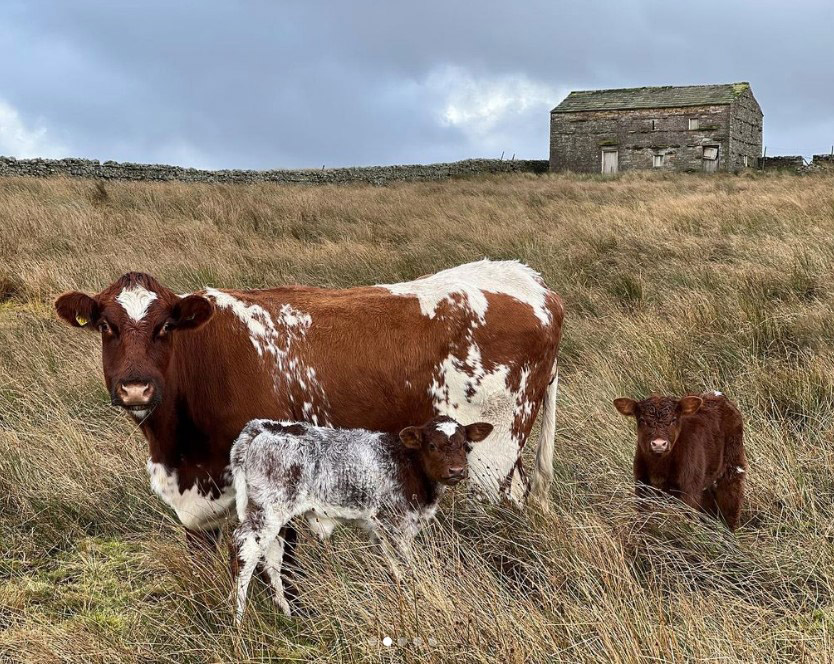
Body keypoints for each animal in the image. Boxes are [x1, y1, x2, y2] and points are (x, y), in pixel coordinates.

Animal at [231, 418, 490, 620]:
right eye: (432, 445)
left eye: (465, 445)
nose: (457, 471)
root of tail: (262, 426)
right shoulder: (394, 524)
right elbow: (406, 566)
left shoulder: (379, 530)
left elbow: (395, 568)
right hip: (270, 510)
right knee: (245, 552)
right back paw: (238, 623)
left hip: (276, 517)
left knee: (272, 561)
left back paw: (288, 615)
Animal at [608, 390, 744, 528]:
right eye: (642, 420)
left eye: (673, 420)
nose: (659, 444)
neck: (659, 468)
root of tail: (717, 395)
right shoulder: (642, 486)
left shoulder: (689, 490)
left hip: (733, 467)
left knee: (731, 501)